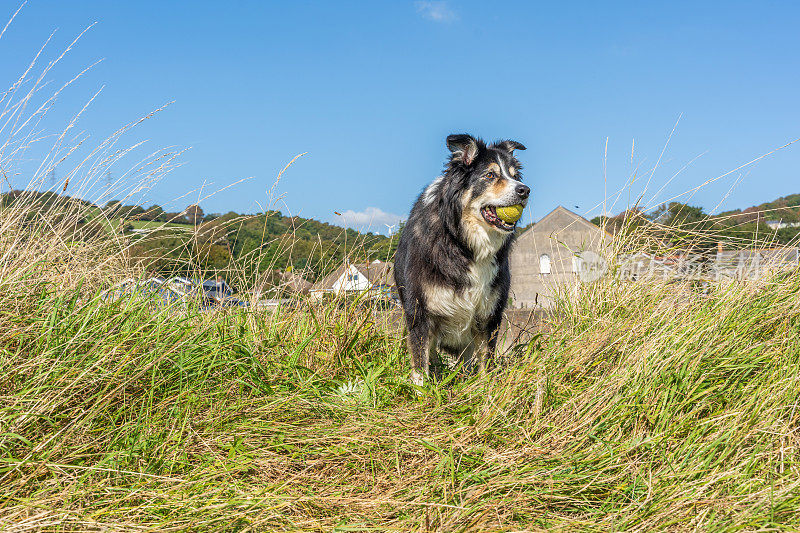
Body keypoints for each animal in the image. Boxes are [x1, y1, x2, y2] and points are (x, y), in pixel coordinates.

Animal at [392, 132, 528, 382]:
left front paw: (483, 387)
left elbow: (486, 359)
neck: (463, 242)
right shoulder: (419, 313)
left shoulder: (489, 314)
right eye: (490, 175)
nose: (525, 190)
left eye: (515, 176)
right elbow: (420, 362)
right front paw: (422, 389)